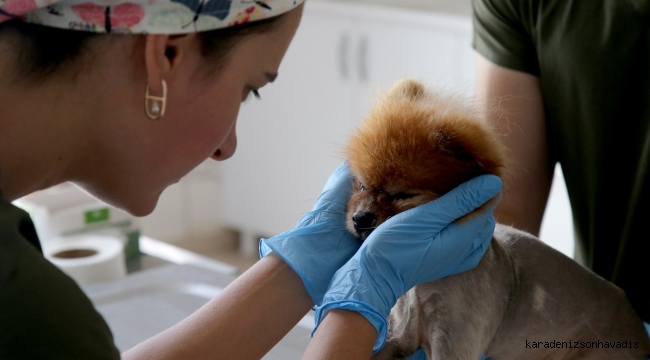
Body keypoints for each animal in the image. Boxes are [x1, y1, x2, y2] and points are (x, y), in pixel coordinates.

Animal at [342, 79, 644, 360]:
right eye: (360, 185)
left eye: (403, 195)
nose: (359, 218)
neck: (422, 281)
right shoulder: (398, 338)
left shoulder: (452, 344)